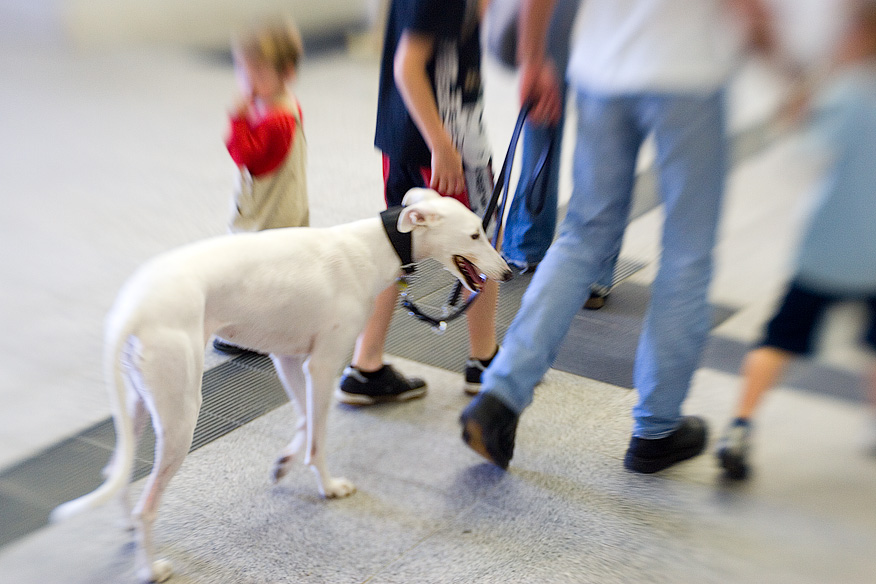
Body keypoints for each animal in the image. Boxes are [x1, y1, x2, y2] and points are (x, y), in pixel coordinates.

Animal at [51, 189, 510, 580]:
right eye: (476, 234)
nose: (508, 272)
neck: (371, 246)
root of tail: (132, 307)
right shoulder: (322, 365)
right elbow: (319, 436)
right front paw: (328, 486)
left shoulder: (290, 360)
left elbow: (305, 421)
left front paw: (286, 463)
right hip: (181, 413)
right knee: (147, 504)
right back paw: (150, 568)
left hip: (141, 403)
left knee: (116, 469)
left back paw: (129, 529)